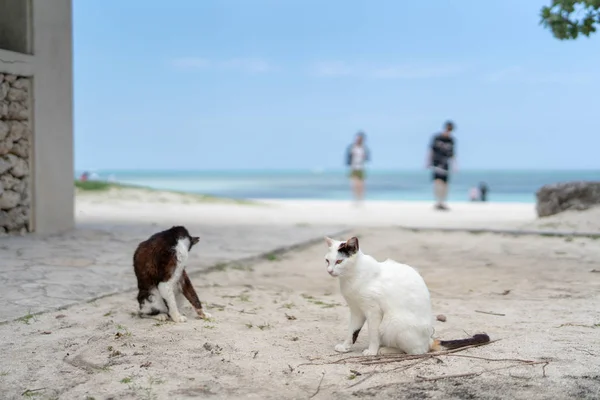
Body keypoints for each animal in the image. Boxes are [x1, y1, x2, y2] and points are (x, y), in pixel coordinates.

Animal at [326, 236, 490, 354]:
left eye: (339, 261)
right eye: (327, 260)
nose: (329, 271)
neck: (351, 277)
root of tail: (429, 340)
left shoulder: (373, 311)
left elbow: (372, 333)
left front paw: (371, 351)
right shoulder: (356, 310)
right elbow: (352, 331)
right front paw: (345, 346)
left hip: (391, 322)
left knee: (416, 351)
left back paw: (385, 350)